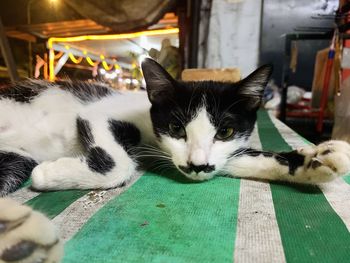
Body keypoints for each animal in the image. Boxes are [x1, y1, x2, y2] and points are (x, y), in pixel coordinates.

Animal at [0, 58, 350, 262]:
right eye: (176, 128)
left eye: (225, 131)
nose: (197, 164)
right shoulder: (95, 113)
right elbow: (120, 165)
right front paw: (49, 174)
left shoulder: (220, 157)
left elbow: (244, 159)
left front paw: (315, 161)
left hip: (14, 160)